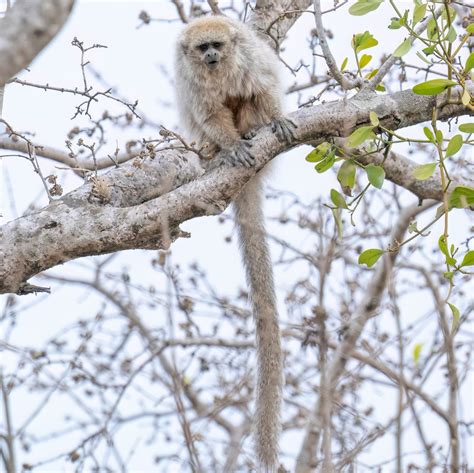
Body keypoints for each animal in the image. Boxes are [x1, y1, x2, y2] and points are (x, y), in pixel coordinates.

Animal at [174, 14, 296, 472]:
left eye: (218, 47)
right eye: (202, 48)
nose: (210, 56)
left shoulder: (250, 62)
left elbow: (263, 89)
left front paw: (275, 119)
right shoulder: (191, 82)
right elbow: (209, 114)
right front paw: (227, 148)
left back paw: (258, 130)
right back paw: (224, 151)